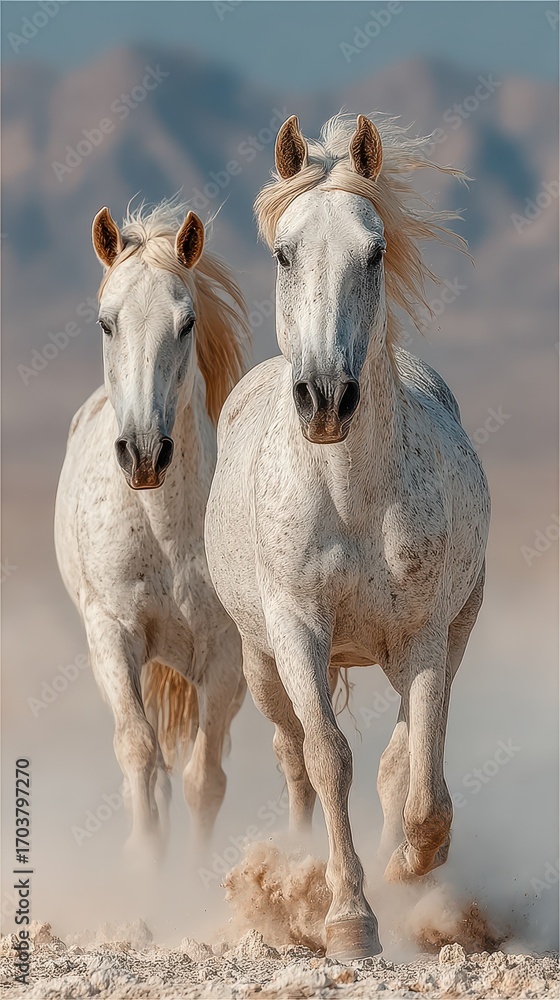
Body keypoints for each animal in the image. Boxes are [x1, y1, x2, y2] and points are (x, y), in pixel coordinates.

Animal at [55, 198, 250, 863]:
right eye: (105, 323)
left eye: (186, 323)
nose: (144, 454)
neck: (167, 532)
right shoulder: (112, 634)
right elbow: (139, 752)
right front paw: (146, 865)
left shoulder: (226, 654)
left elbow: (205, 780)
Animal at [204, 114, 490, 959]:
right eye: (284, 253)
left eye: (375, 251)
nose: (327, 398)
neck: (350, 497)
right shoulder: (298, 631)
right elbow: (329, 757)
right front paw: (348, 918)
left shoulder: (424, 637)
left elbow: (421, 780)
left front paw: (409, 867)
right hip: (260, 659)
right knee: (293, 754)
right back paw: (298, 864)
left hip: (452, 632)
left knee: (405, 751)